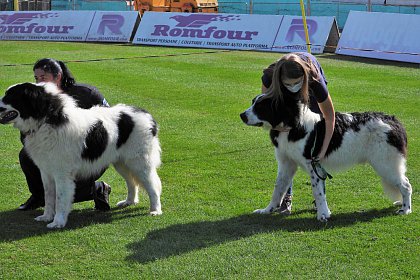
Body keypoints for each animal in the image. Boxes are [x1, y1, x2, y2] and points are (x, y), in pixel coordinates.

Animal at [0, 82, 162, 229]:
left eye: (10, 97)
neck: (47, 119)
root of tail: (147, 115)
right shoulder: (46, 171)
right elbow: (49, 196)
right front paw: (46, 216)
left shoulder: (62, 174)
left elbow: (60, 199)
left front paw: (58, 222)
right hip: (122, 163)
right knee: (131, 183)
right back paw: (129, 201)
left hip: (139, 163)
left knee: (152, 185)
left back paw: (155, 210)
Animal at [241, 93, 412, 220]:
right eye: (253, 103)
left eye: (261, 107)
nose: (242, 115)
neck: (293, 125)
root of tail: (394, 121)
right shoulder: (286, 164)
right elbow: (278, 189)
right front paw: (267, 210)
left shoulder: (312, 164)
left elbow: (317, 191)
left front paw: (322, 214)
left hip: (385, 164)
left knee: (406, 185)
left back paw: (406, 209)